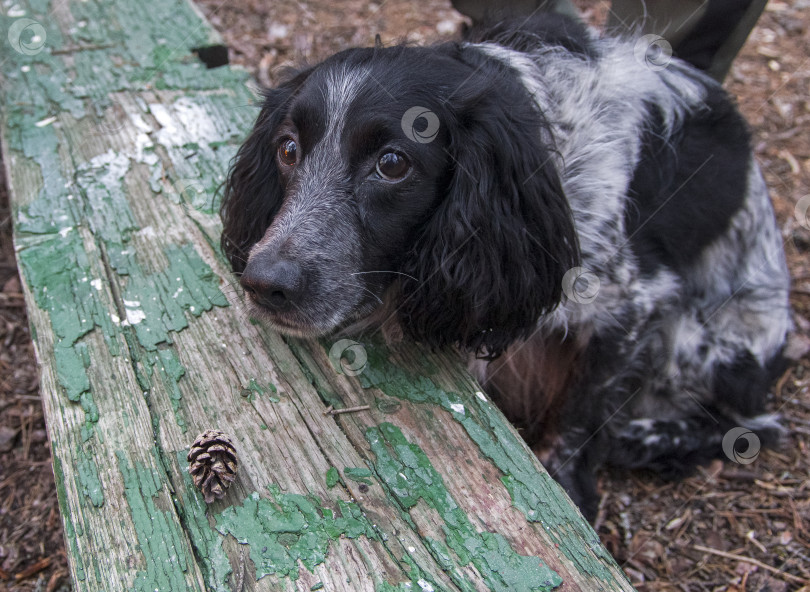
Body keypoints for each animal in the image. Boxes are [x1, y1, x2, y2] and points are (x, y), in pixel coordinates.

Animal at [218, 13, 784, 520]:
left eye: (393, 163)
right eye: (288, 148)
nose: (264, 283)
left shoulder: (637, 302)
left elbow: (582, 413)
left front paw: (570, 484)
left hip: (704, 342)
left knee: (754, 421)